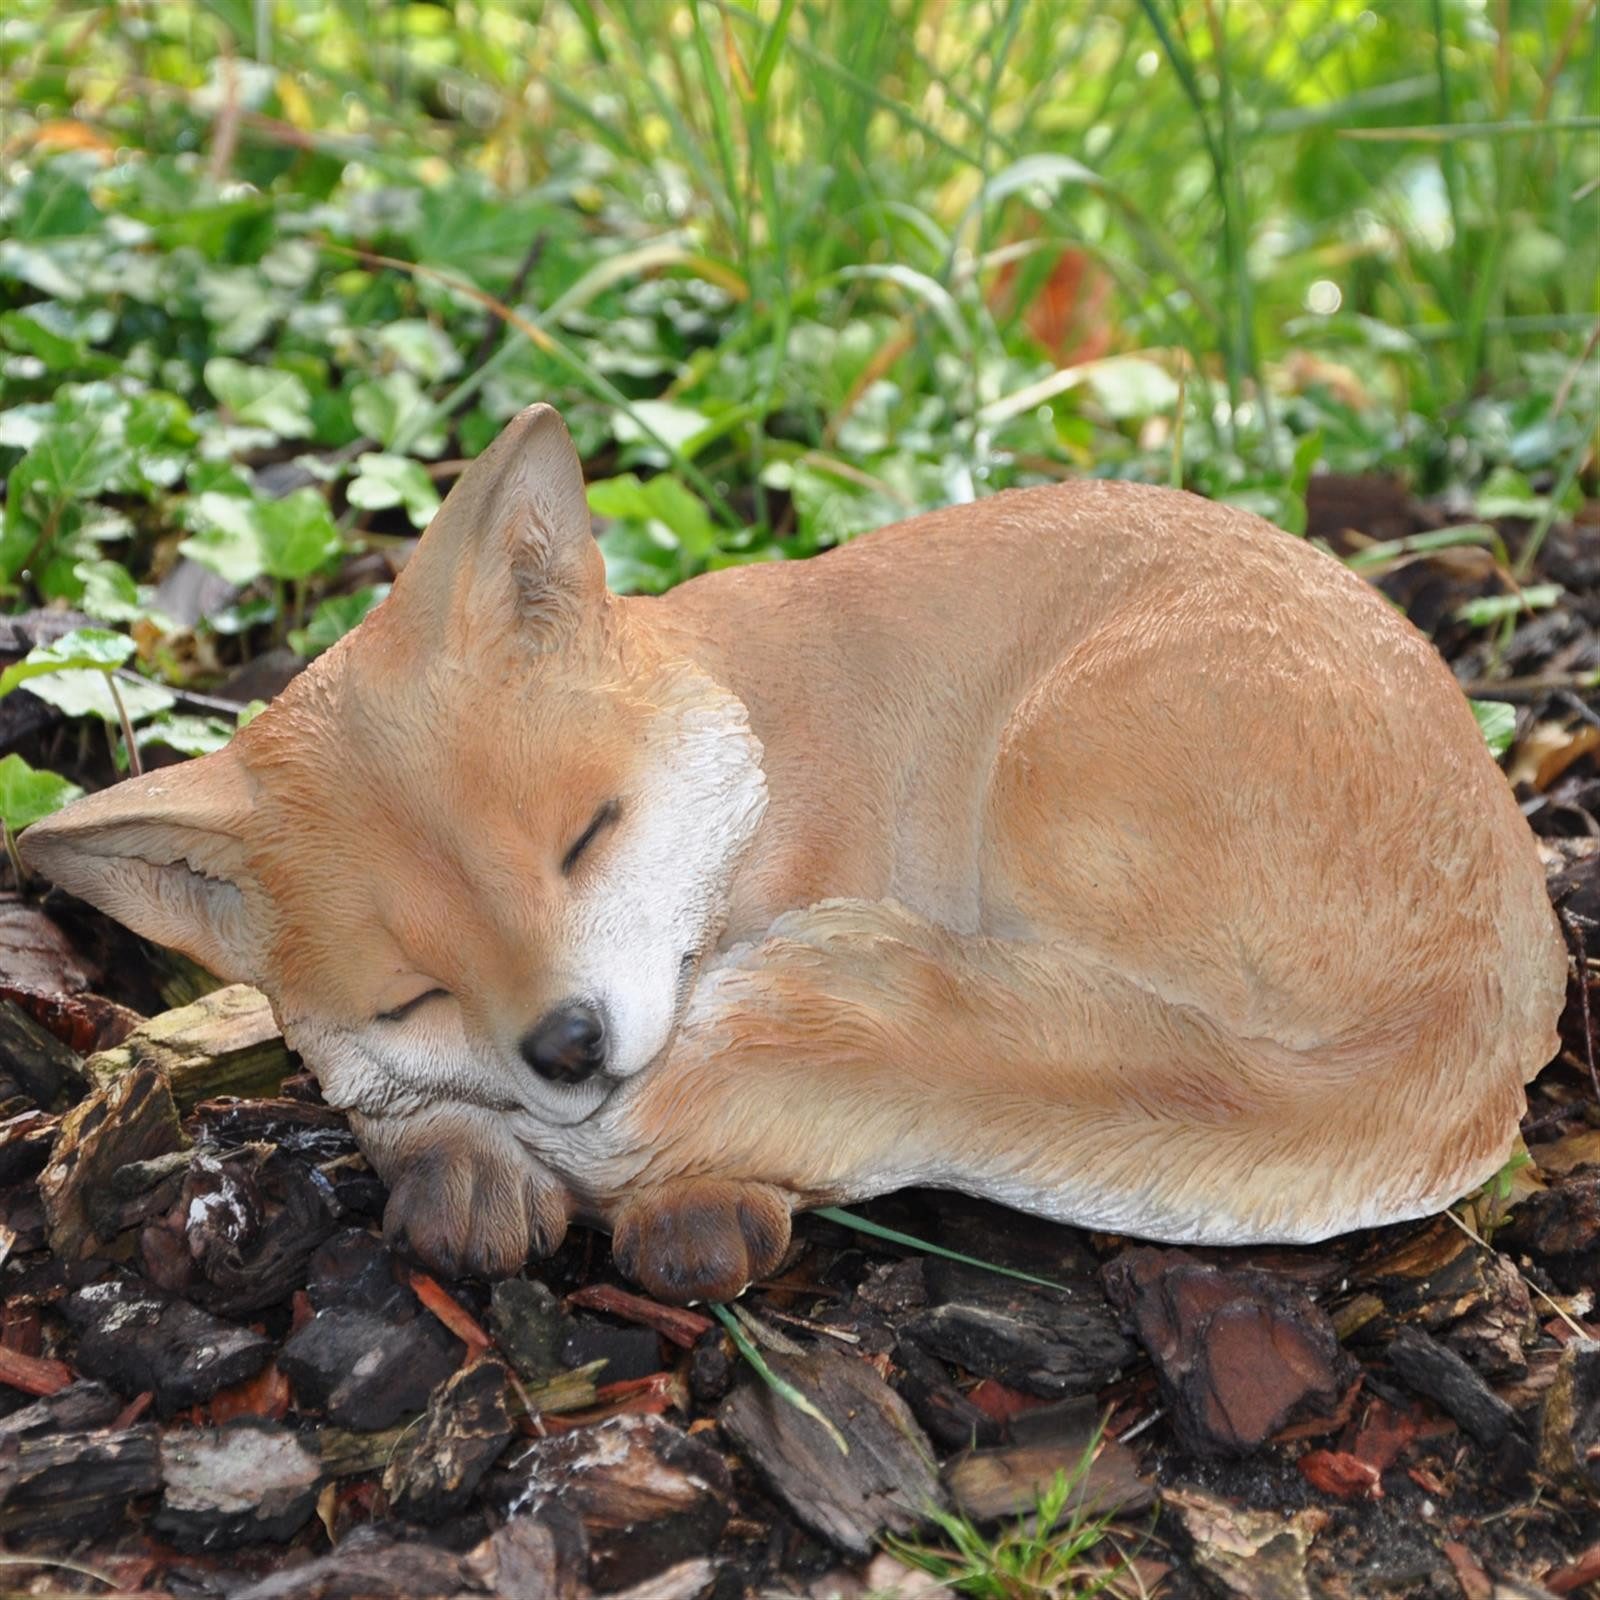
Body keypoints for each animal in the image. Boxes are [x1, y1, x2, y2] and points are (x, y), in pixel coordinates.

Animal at [21, 405, 1566, 1304]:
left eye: (586, 836)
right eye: (417, 988)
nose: (570, 1046)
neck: (769, 751)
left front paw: (701, 1195)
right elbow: (385, 1096)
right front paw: (461, 1163)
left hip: (1054, 789)